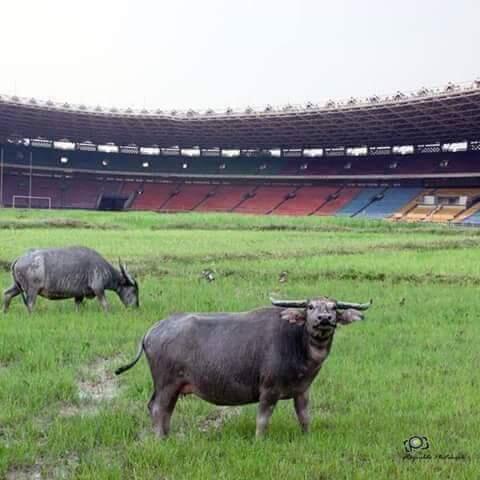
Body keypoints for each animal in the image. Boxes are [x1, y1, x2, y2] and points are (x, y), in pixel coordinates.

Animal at [2, 246, 139, 314]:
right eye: (134, 290)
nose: (136, 306)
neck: (104, 268)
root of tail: (20, 258)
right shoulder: (98, 288)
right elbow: (105, 304)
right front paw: (108, 314)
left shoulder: (79, 295)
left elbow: (78, 306)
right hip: (31, 290)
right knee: (30, 304)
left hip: (17, 286)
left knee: (7, 294)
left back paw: (5, 312)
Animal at [115, 294, 372, 436]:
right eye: (310, 307)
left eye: (333, 308)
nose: (324, 319)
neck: (297, 343)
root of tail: (152, 330)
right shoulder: (269, 390)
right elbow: (263, 419)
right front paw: (260, 440)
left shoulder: (302, 391)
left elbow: (304, 417)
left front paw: (306, 436)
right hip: (167, 383)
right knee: (159, 409)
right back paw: (160, 439)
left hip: (170, 387)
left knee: (162, 409)